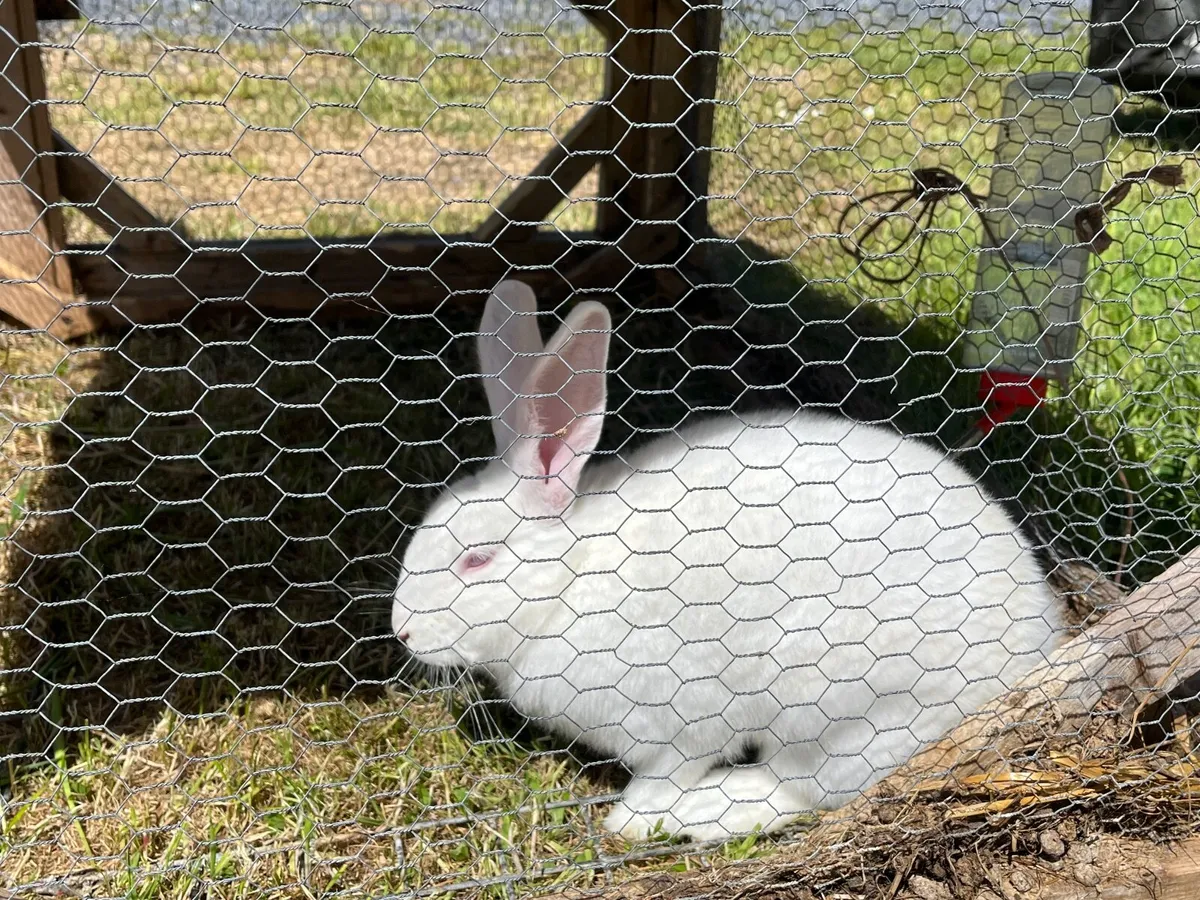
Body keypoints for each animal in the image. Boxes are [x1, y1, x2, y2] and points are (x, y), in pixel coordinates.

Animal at [392, 279, 1064, 843]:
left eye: (477, 560)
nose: (403, 633)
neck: (575, 577)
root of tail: (1035, 646)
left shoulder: (685, 721)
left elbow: (667, 772)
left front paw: (629, 823)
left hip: (842, 711)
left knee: (803, 789)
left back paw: (707, 811)